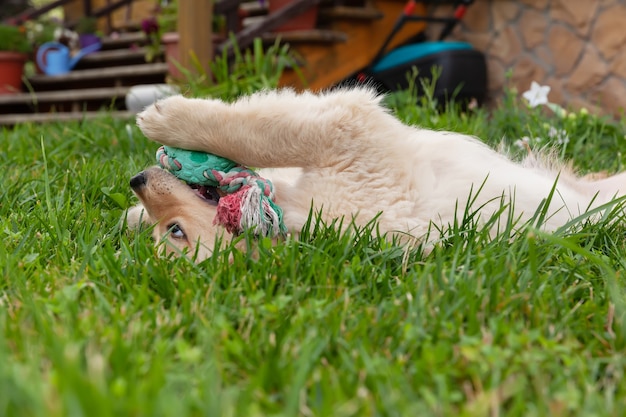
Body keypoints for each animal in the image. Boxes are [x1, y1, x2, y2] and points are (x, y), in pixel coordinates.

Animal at [125, 86, 624, 258]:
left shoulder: (348, 133)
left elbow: (263, 133)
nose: (136, 181)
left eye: (175, 231)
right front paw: (131, 215)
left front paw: (166, 119)